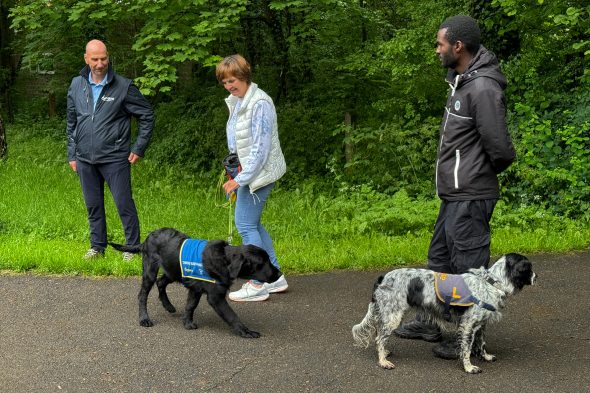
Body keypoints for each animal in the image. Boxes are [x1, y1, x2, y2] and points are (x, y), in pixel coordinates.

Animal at [354, 253, 540, 372]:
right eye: (529, 268)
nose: (537, 277)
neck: (491, 282)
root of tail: (382, 278)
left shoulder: (481, 325)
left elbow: (482, 344)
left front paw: (485, 357)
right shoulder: (468, 325)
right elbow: (466, 349)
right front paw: (469, 367)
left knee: (379, 334)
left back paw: (384, 354)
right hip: (393, 316)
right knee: (379, 338)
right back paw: (383, 361)